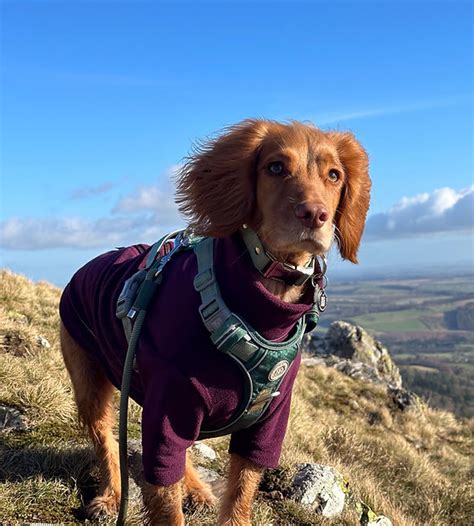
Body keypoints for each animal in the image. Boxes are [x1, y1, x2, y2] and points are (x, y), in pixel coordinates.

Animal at [58, 117, 370, 524]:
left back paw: (195, 488)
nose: (315, 214)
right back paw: (111, 496)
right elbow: (166, 501)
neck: (262, 301)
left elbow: (238, 497)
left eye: (334, 175)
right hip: (90, 384)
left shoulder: (265, 424)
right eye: (275, 168)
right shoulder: (170, 407)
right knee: (106, 438)